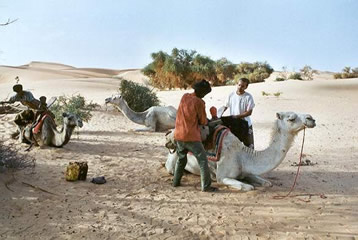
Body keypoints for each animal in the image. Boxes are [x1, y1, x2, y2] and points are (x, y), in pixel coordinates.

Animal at [165, 111, 316, 191]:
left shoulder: (247, 171)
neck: (243, 156)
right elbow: (248, 187)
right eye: (291, 118)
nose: (311, 118)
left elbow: (267, 182)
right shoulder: (223, 177)